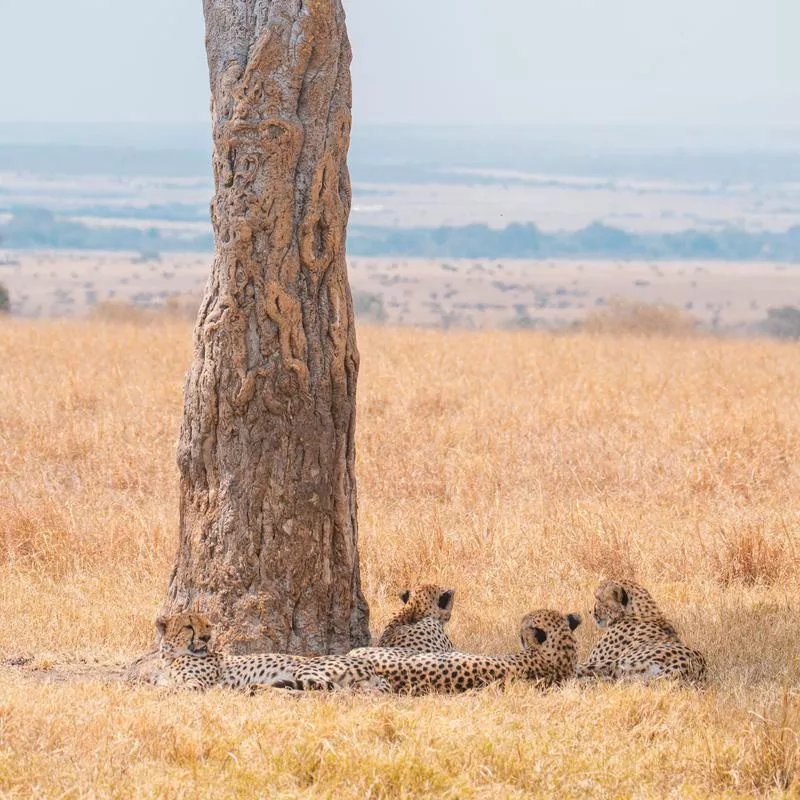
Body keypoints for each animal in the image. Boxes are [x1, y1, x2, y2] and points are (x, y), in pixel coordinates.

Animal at [152, 616, 388, 692]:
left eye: (207, 625)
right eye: (188, 627)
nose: (206, 638)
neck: (170, 658)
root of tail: (372, 668)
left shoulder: (199, 684)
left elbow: (173, 689)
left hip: (306, 668)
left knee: (328, 690)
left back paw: (260, 688)